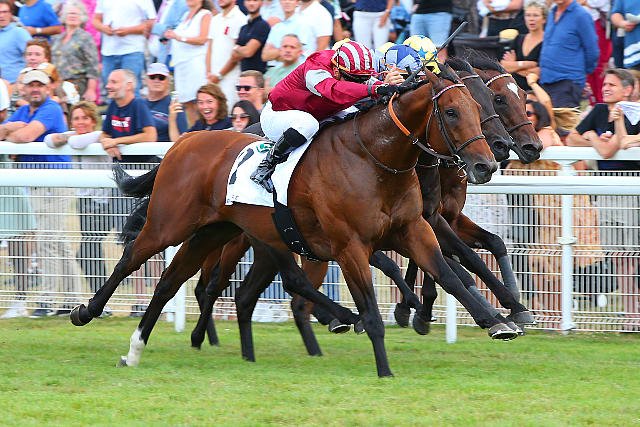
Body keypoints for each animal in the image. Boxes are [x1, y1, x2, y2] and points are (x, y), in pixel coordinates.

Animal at [71, 65, 512, 377]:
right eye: (451, 112)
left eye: (480, 107)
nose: (487, 163)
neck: (373, 157)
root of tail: (185, 140)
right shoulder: (350, 245)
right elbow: (372, 306)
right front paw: (384, 366)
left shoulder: (413, 229)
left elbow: (452, 275)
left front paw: (497, 320)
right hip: (171, 224)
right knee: (131, 259)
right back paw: (86, 312)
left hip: (218, 232)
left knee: (170, 282)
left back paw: (134, 351)